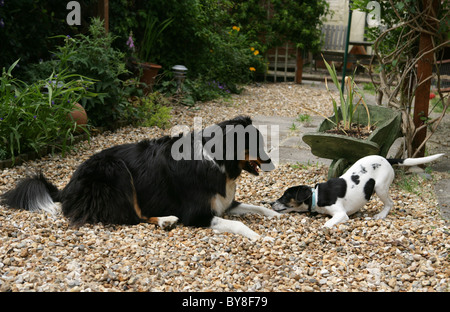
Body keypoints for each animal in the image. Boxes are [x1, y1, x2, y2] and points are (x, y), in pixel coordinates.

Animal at [1, 116, 280, 240]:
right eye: (256, 143)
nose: (272, 164)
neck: (218, 161)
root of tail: (68, 185)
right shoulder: (196, 214)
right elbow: (238, 224)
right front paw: (260, 236)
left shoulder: (225, 202)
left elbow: (254, 207)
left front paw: (275, 213)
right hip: (116, 171)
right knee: (132, 217)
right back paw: (166, 220)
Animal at [270, 153, 442, 227]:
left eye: (285, 196)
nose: (270, 203)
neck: (315, 196)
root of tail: (386, 159)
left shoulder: (341, 214)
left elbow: (327, 224)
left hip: (380, 187)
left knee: (390, 203)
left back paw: (381, 215)